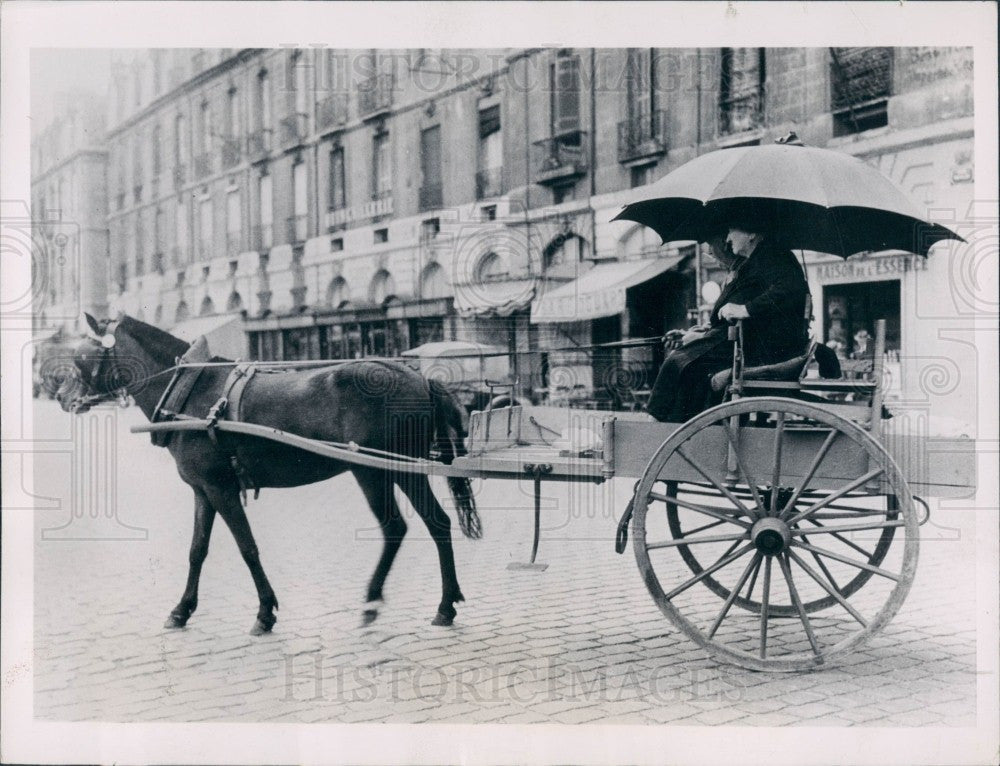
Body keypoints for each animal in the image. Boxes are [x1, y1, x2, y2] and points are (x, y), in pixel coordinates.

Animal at [54, 312, 484, 636]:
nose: (60, 395)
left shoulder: (221, 489)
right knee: (431, 524)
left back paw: (385, 601)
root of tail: (421, 378)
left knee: (404, 526)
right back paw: (440, 604)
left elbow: (247, 547)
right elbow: (197, 550)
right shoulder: (203, 491)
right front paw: (182, 609)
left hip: (375, 470)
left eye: (80, 356)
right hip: (395, 469)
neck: (190, 392)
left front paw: (264, 612)